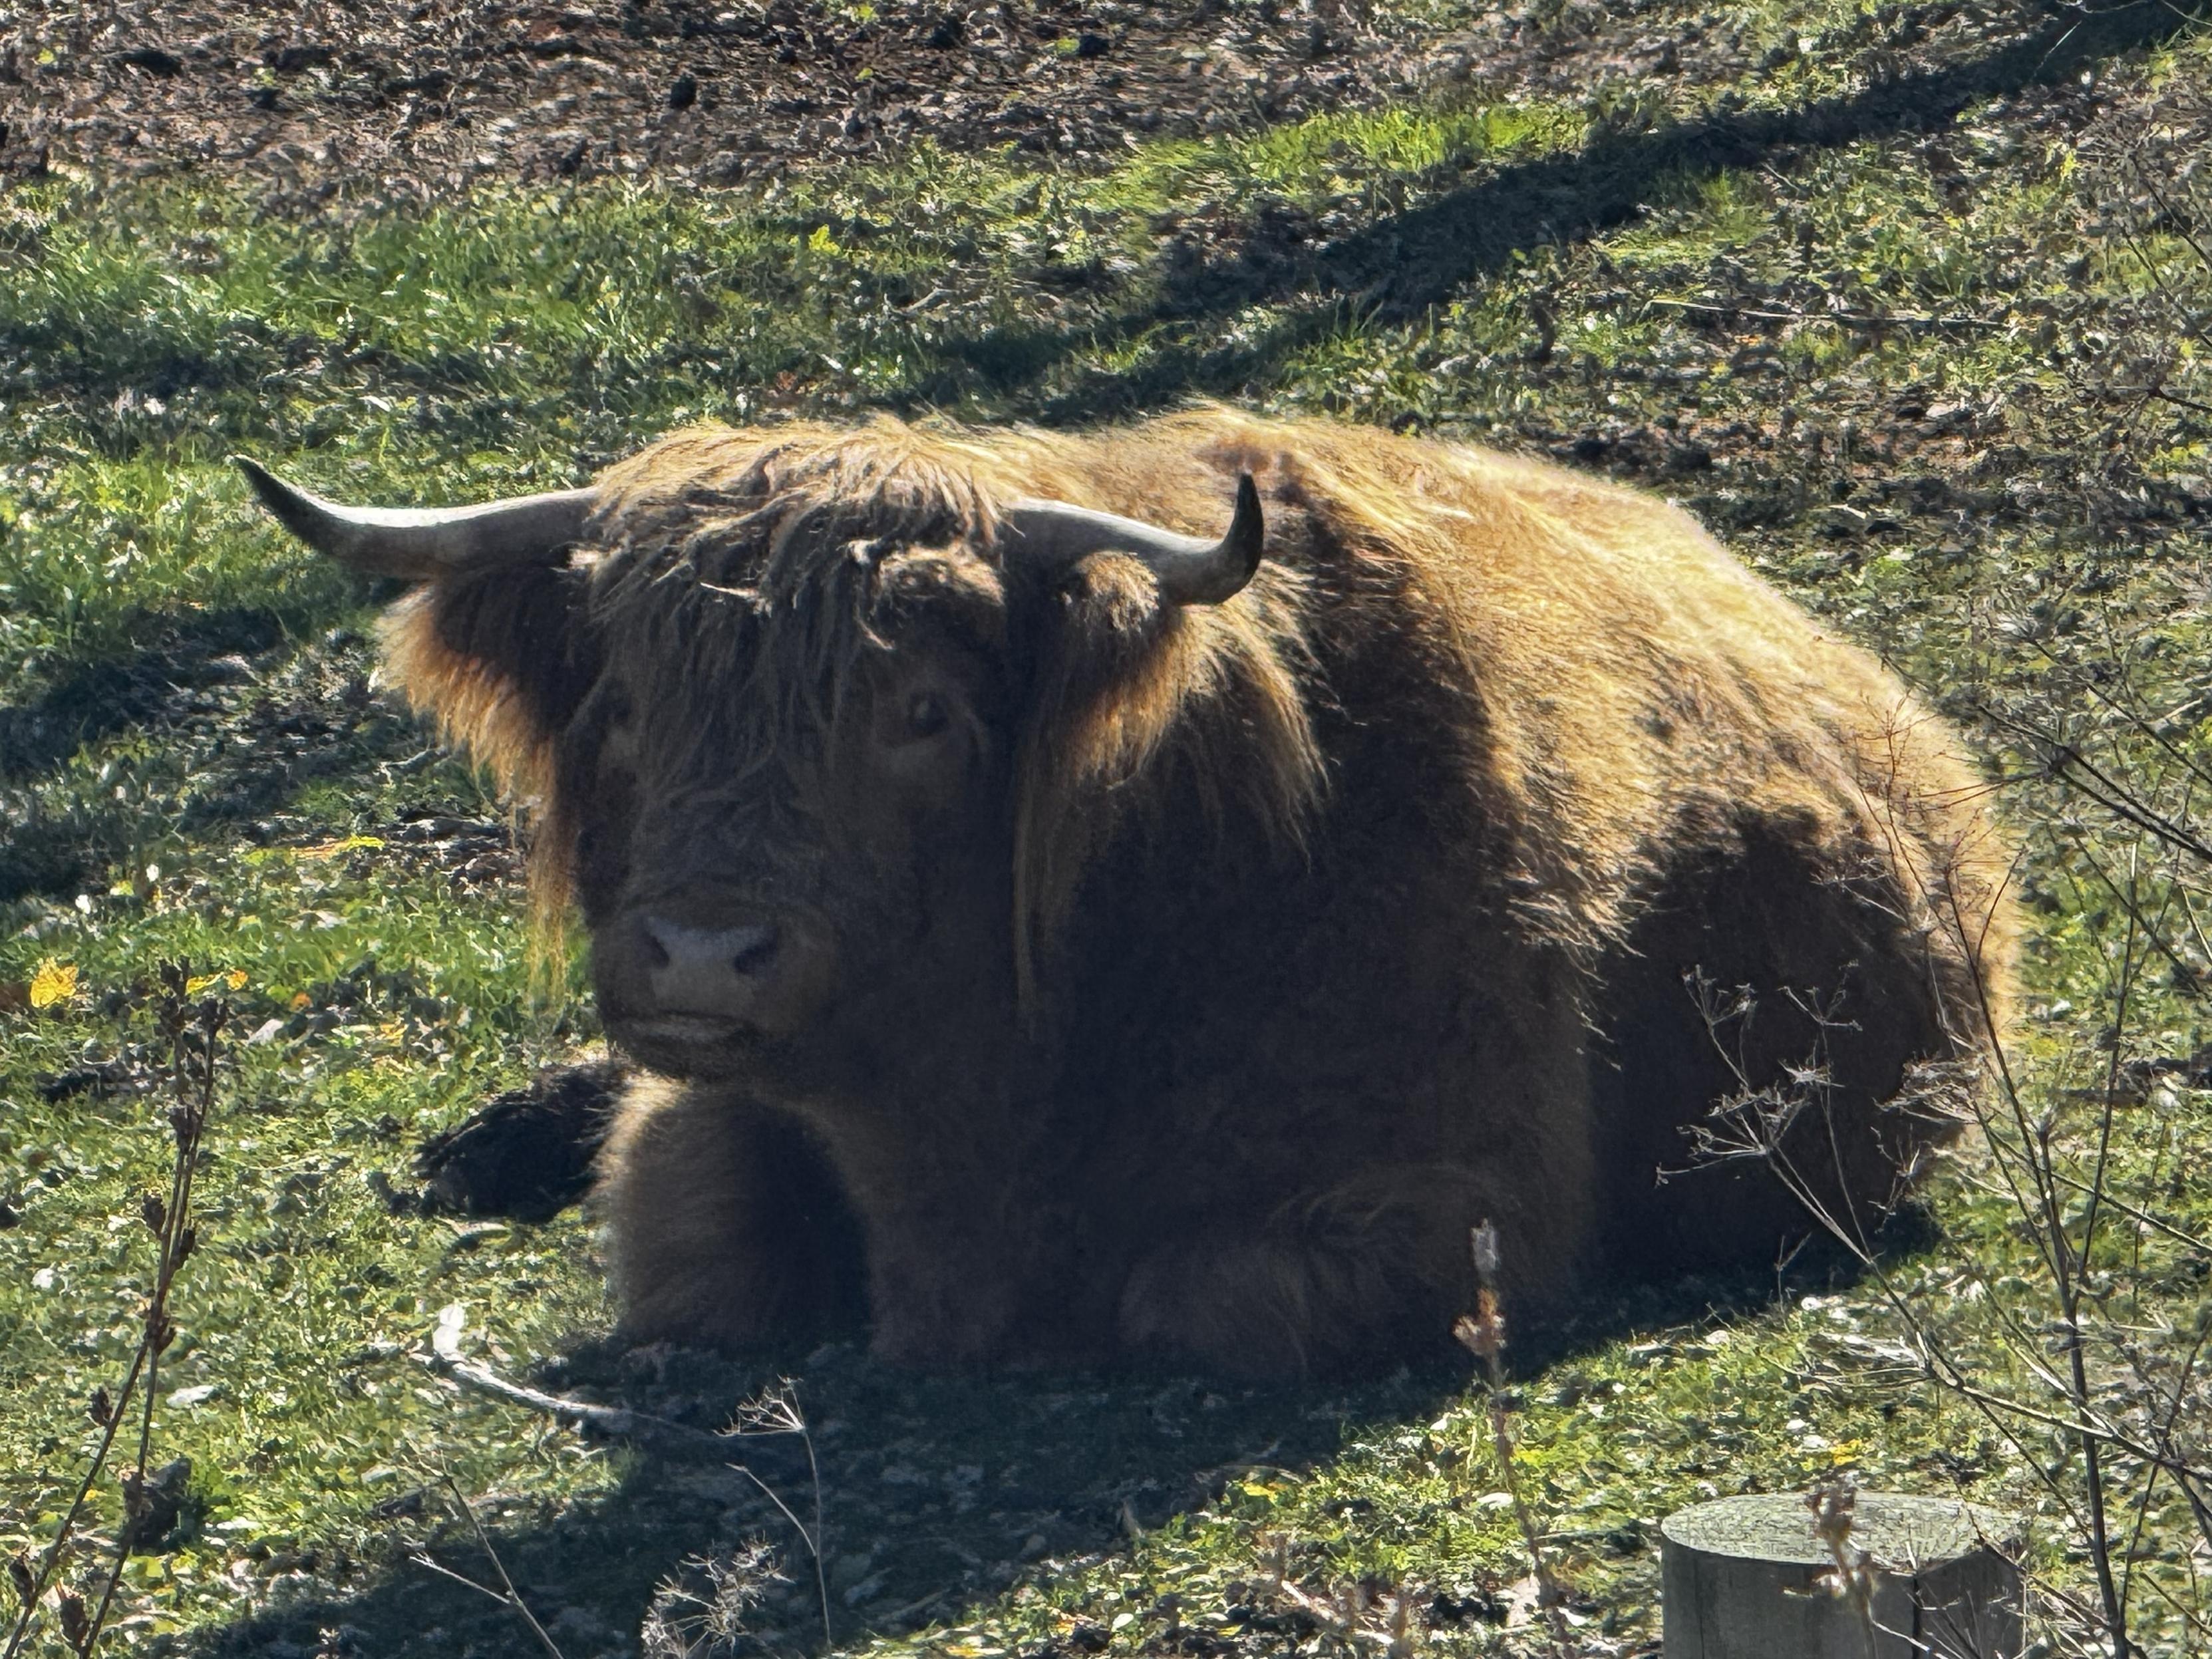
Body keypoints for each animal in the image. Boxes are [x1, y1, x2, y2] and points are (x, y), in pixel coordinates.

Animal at [240, 408, 2016, 1376]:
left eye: (924, 711)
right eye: (619, 706)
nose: (700, 951)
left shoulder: (1462, 1201)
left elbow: (1188, 1292)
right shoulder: (716, 1123)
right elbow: (701, 1242)